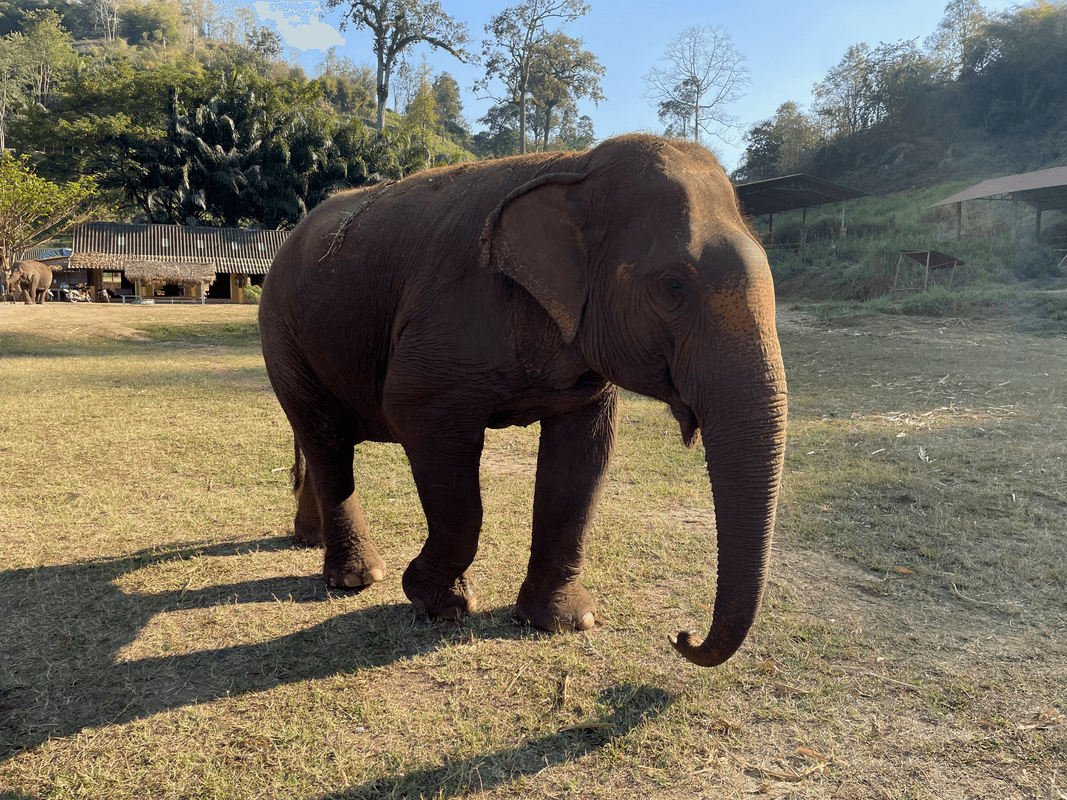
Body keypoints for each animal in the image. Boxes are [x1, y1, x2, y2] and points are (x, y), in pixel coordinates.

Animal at [259, 134, 788, 668]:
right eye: (673, 286)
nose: (682, 636)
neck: (579, 166)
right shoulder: (445, 330)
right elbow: (420, 426)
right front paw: (440, 604)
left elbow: (580, 461)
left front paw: (563, 622)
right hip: (282, 335)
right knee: (326, 441)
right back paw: (358, 578)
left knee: (320, 445)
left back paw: (310, 541)